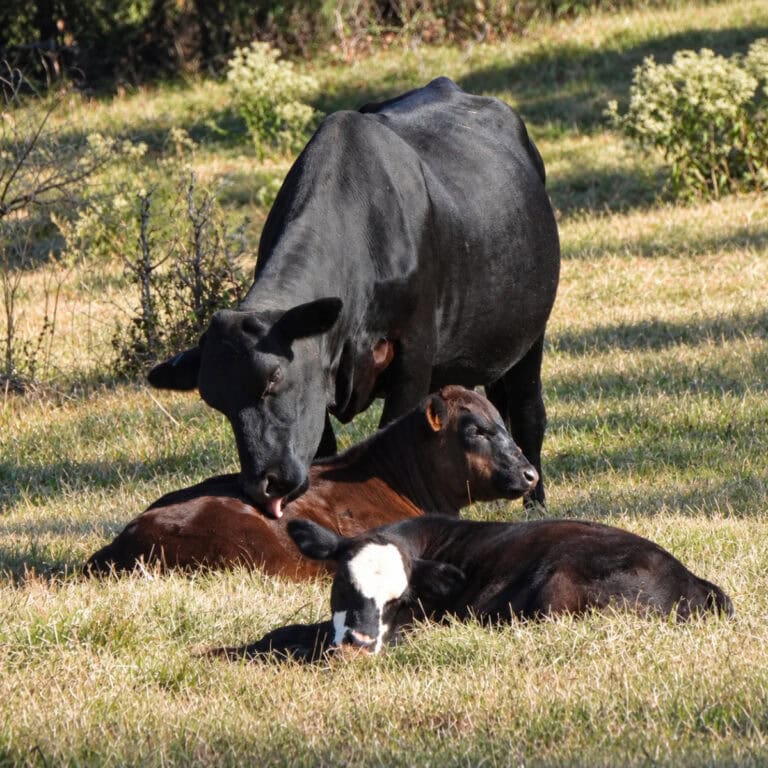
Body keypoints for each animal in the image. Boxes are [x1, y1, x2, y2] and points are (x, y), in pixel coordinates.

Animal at [146, 77, 560, 515]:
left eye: (274, 378)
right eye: (215, 401)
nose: (265, 484)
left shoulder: (414, 353)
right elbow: (324, 450)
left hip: (531, 333)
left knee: (528, 412)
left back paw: (536, 505)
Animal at [227, 515, 733, 660]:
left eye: (400, 600)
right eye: (341, 584)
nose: (360, 643)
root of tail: (694, 583)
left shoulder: (415, 624)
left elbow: (303, 636)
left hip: (558, 585)